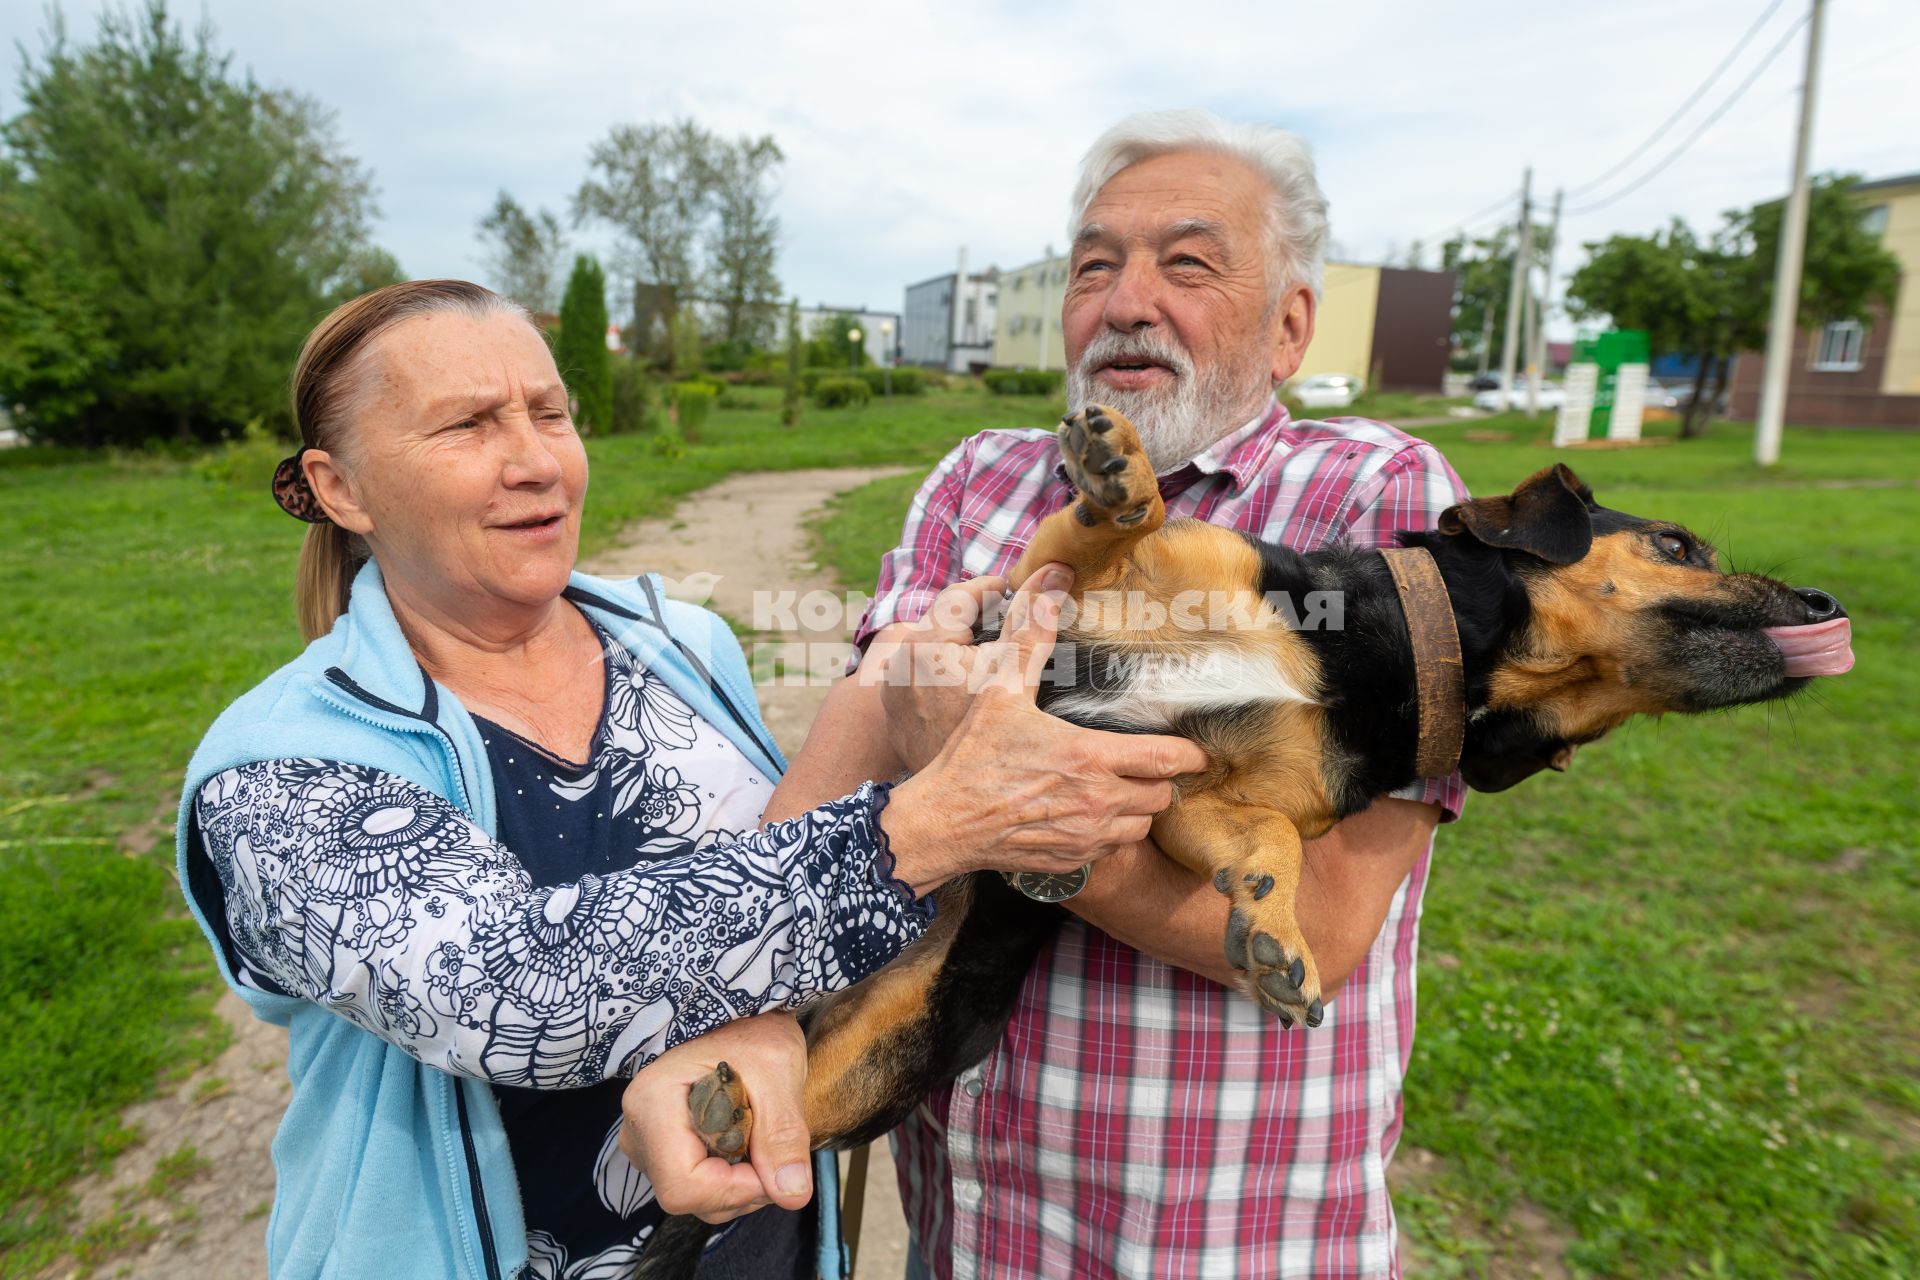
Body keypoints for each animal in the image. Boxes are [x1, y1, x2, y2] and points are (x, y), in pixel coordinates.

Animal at [637, 404, 1850, 1274]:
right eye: (1678, 542)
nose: (1827, 599)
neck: (1388, 654)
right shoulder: (1037, 585)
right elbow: (1108, 526)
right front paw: (1118, 469)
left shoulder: (1187, 791)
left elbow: (1269, 839)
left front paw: (1273, 932)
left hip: (911, 1037)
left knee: (782, 1125)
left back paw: (735, 1119)